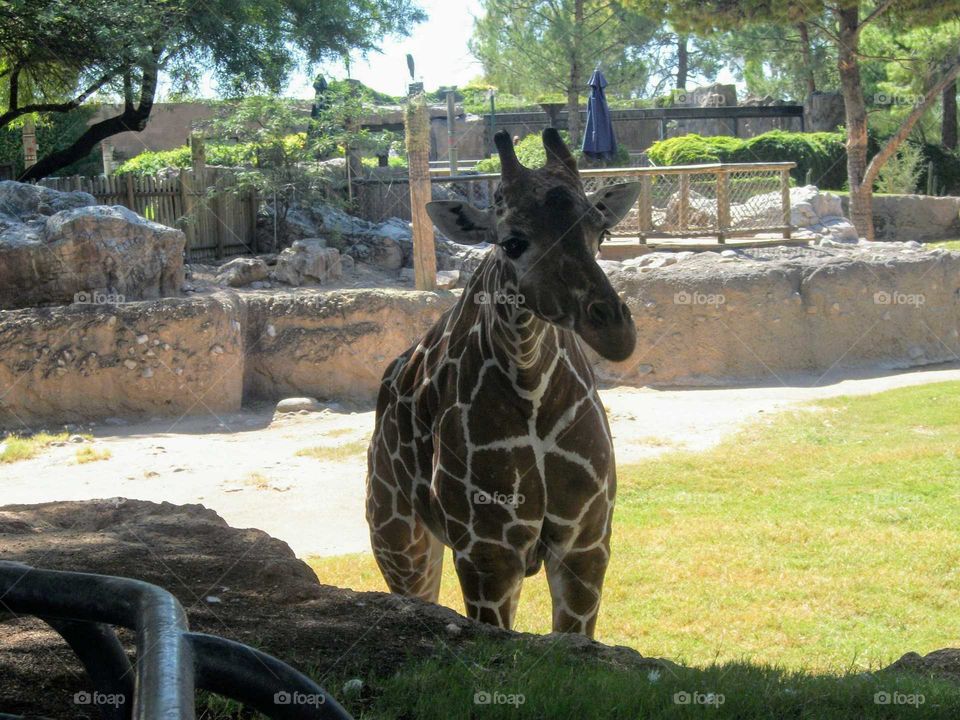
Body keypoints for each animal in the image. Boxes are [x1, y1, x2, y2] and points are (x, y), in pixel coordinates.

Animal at [366, 128, 640, 637]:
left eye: (602, 231)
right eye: (512, 242)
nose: (616, 332)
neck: (532, 389)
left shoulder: (587, 543)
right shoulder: (486, 552)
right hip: (399, 541)